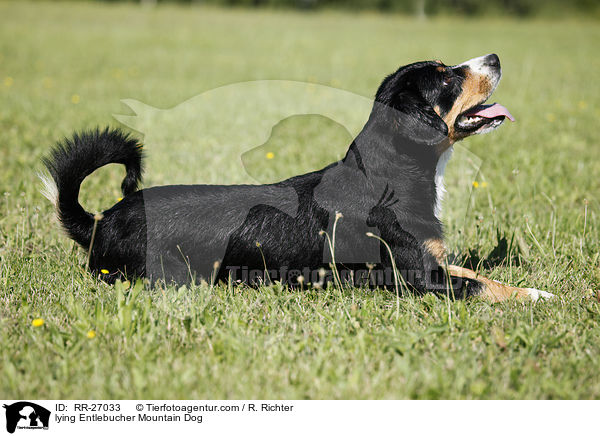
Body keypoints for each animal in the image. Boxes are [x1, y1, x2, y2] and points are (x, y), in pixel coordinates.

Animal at [39, 52, 552, 302]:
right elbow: (482, 285)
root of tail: (103, 219)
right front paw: (537, 295)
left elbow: (473, 271)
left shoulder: (434, 261)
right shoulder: (420, 277)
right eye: (446, 79)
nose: (495, 56)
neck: (392, 177)